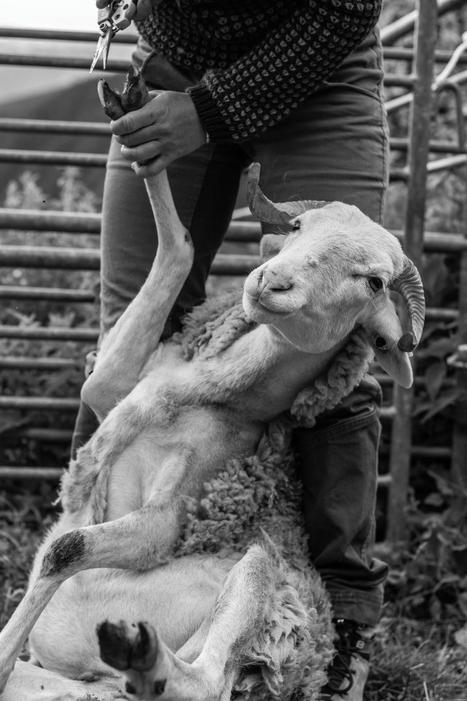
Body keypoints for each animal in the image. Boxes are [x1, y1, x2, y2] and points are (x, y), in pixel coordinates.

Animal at [0, 72, 424, 700]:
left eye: (372, 281)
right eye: (297, 228)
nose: (271, 281)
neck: (211, 392)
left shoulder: (166, 522)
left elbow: (64, 545)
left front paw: (2, 653)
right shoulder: (111, 391)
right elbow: (180, 247)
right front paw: (134, 113)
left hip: (260, 574)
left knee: (206, 680)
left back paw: (141, 653)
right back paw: (131, 664)